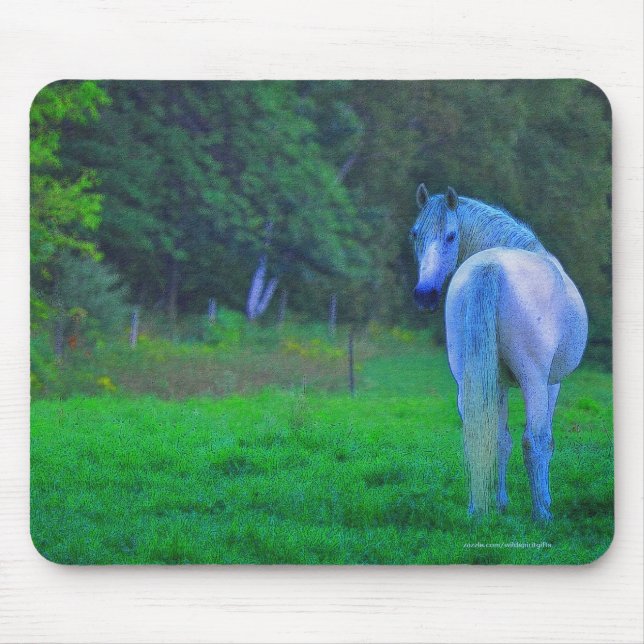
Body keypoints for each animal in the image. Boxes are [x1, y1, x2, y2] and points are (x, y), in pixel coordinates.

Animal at [411, 184, 588, 521]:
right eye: (416, 235)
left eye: (451, 236)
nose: (424, 295)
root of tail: (490, 266)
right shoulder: (552, 384)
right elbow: (544, 441)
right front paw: (544, 502)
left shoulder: (497, 382)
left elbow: (500, 440)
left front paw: (500, 503)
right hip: (534, 382)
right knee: (534, 441)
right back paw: (541, 514)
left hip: (468, 380)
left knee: (478, 436)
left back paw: (477, 509)